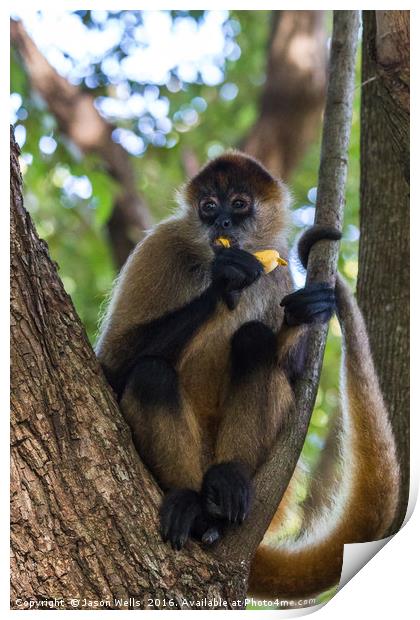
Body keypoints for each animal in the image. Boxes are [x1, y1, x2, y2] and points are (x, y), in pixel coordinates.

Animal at [96, 151, 400, 600]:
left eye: (238, 204)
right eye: (208, 206)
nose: (221, 222)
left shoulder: (277, 268)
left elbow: (290, 368)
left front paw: (304, 314)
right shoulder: (160, 245)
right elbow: (112, 365)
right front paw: (226, 280)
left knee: (253, 340)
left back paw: (228, 480)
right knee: (151, 374)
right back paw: (194, 508)